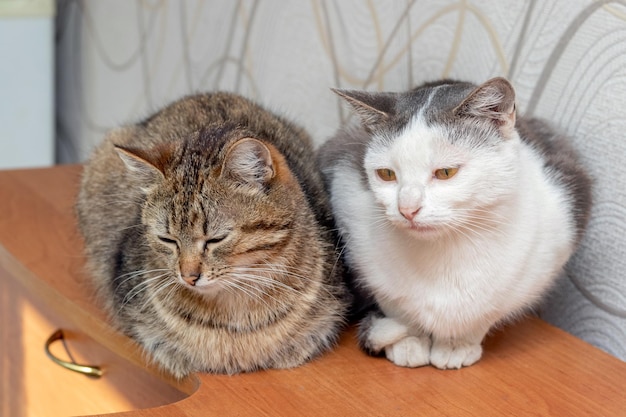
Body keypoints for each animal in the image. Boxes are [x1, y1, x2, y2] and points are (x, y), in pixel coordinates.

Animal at [316, 77, 588, 368]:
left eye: (446, 172)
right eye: (386, 174)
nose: (407, 209)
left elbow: (487, 311)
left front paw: (457, 345)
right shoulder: (353, 225)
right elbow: (395, 304)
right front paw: (409, 341)